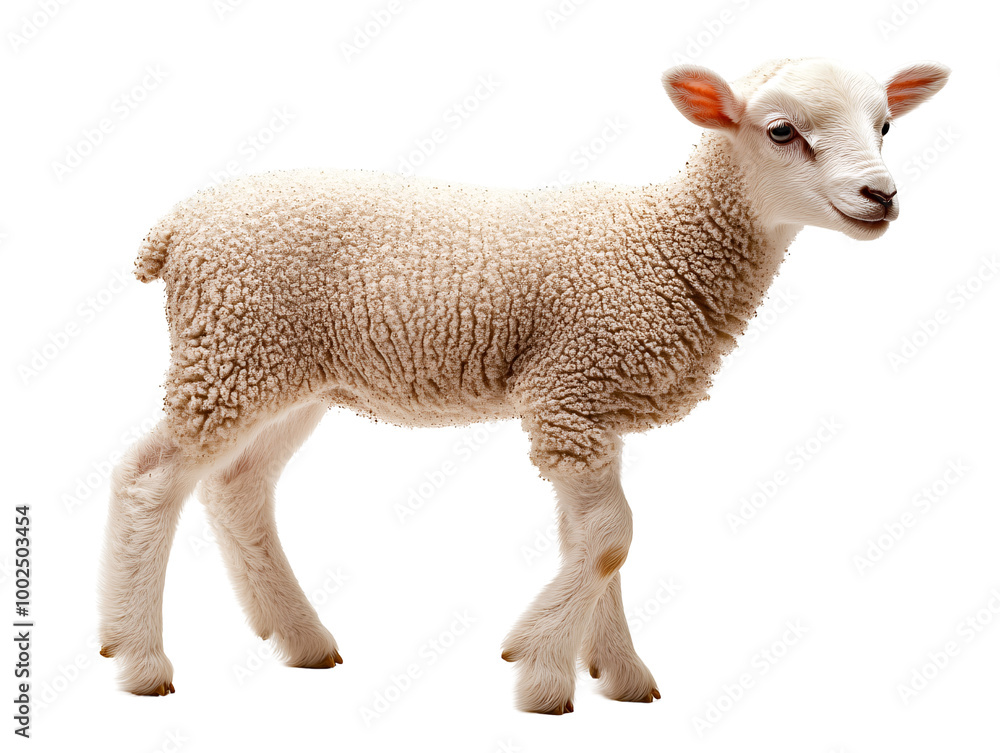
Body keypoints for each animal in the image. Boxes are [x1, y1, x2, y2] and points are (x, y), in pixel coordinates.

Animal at [99, 57, 950, 712]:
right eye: (781, 131)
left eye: (885, 125)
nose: (882, 196)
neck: (662, 246)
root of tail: (176, 227)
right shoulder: (567, 390)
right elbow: (611, 534)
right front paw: (540, 670)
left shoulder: (590, 407)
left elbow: (593, 539)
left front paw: (613, 672)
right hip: (233, 351)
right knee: (151, 479)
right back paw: (139, 660)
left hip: (285, 375)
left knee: (237, 486)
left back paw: (301, 638)